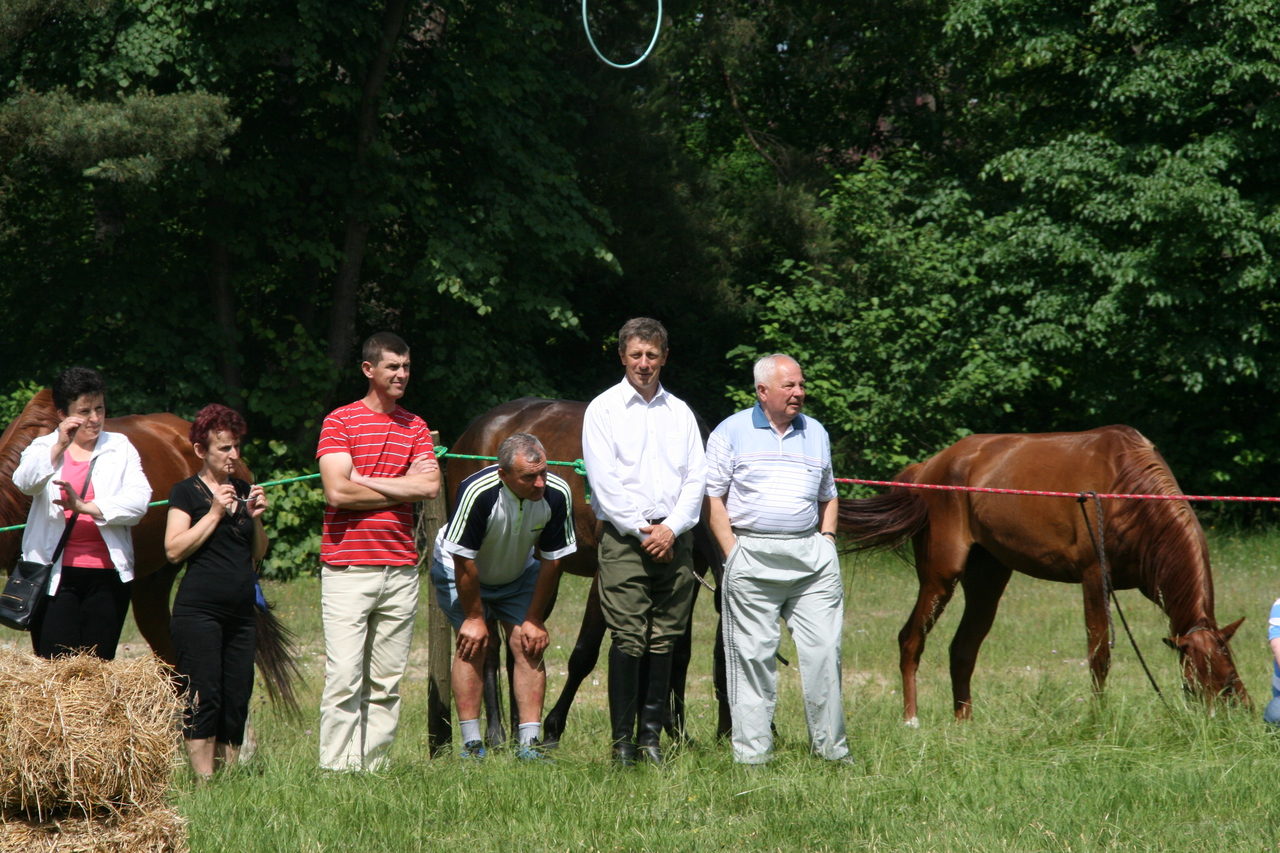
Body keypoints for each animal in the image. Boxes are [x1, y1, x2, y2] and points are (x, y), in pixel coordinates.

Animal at [442, 394, 732, 742]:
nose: (728, 734)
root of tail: (474, 431)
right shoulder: (605, 578)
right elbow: (585, 654)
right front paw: (553, 730)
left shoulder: (685, 580)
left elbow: (678, 652)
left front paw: (674, 731)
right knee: (490, 646)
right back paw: (498, 734)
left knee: (516, 645)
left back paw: (516, 728)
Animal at [839, 422, 1249, 722]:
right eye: (1194, 686)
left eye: (1230, 680)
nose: (1223, 728)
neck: (1127, 491)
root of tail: (926, 469)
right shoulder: (1094, 578)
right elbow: (1099, 653)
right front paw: (1098, 719)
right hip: (940, 575)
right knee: (911, 638)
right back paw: (911, 718)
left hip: (987, 580)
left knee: (963, 648)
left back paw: (963, 722)